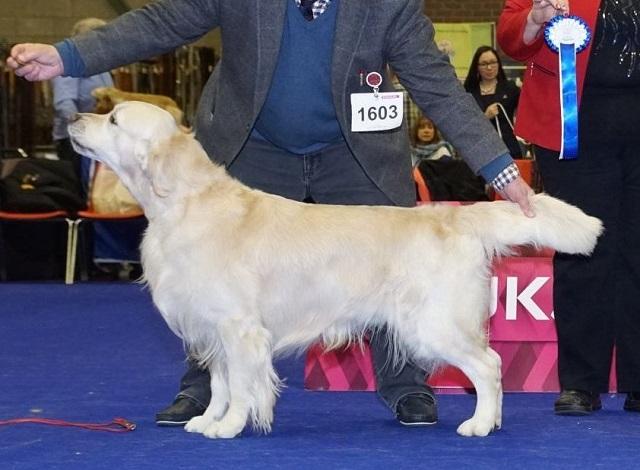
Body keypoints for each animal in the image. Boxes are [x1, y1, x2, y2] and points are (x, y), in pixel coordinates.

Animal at [67, 101, 604, 438]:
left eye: (113, 119)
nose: (72, 117)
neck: (182, 203)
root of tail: (453, 214)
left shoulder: (240, 328)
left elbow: (241, 385)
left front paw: (231, 427)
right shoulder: (212, 328)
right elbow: (220, 383)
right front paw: (209, 420)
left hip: (431, 324)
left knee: (489, 365)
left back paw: (479, 424)